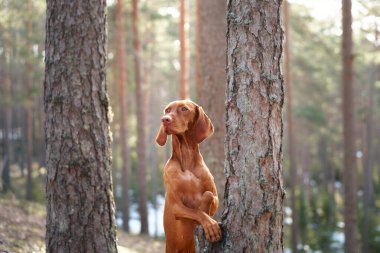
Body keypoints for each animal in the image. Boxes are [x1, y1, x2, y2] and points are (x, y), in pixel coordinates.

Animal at [157, 100, 223, 253]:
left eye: (184, 109)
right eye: (166, 110)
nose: (165, 120)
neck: (186, 159)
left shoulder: (216, 199)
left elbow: (208, 195)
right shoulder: (176, 206)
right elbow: (196, 211)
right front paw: (210, 224)